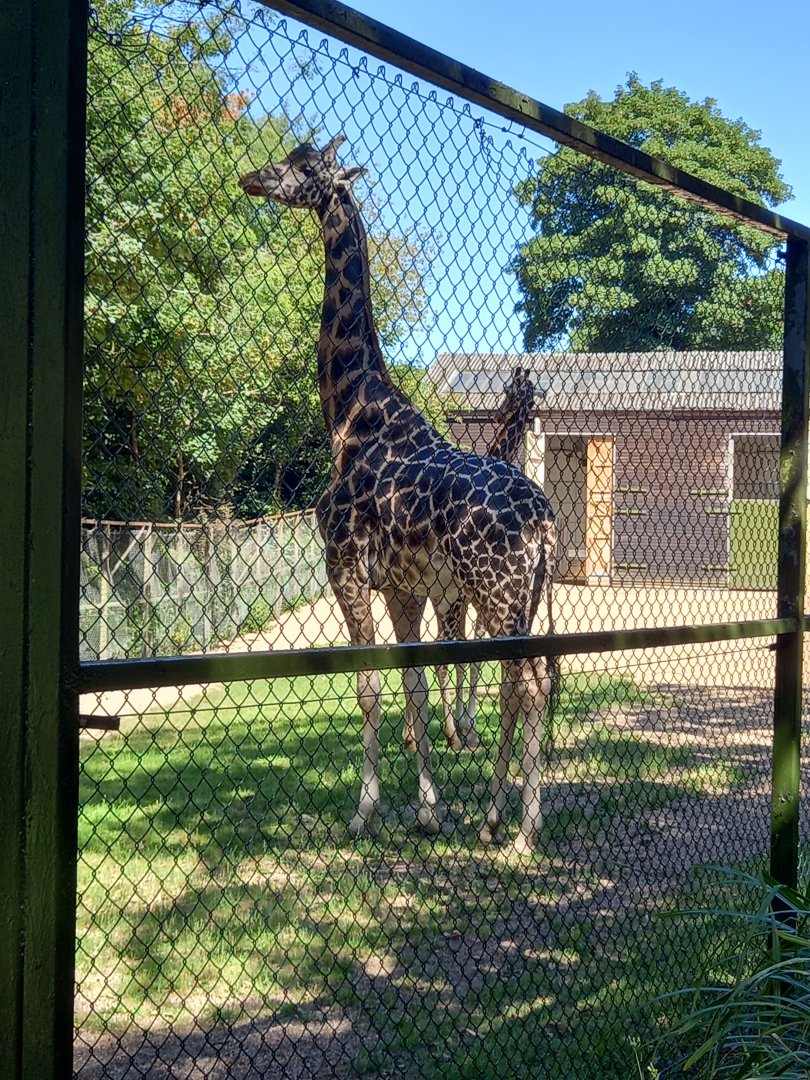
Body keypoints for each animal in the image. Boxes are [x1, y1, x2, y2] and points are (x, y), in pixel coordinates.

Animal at [240, 135, 558, 853]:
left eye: (304, 166)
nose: (252, 178)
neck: (350, 414)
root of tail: (544, 522)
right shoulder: (405, 587)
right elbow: (413, 687)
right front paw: (429, 809)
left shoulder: (345, 567)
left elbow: (369, 689)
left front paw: (365, 811)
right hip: (518, 595)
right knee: (521, 682)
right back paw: (497, 819)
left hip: (496, 591)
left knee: (525, 684)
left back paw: (521, 831)